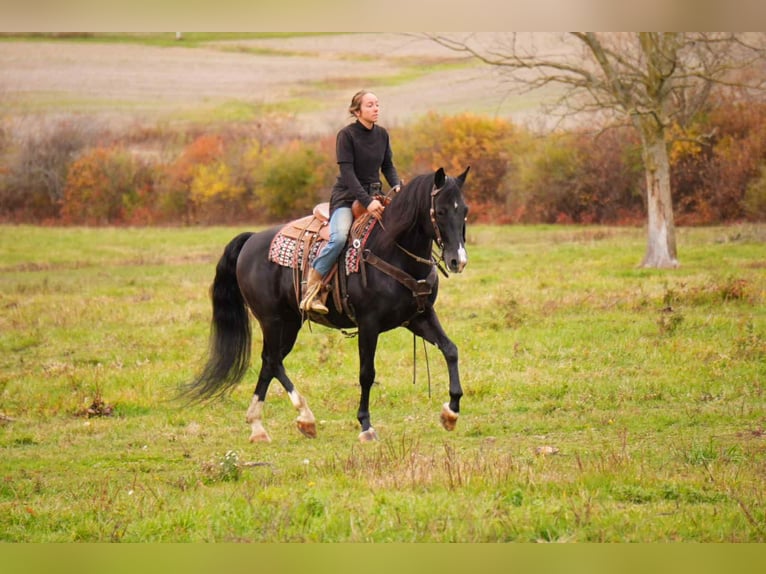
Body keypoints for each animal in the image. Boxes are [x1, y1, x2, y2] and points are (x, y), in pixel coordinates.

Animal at [182, 166, 470, 442]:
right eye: (441, 211)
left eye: (464, 211)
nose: (458, 260)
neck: (391, 250)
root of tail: (251, 240)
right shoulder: (369, 323)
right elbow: (367, 373)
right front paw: (365, 425)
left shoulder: (418, 317)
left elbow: (451, 350)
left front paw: (451, 412)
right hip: (271, 319)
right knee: (273, 361)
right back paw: (305, 416)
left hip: (289, 323)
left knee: (269, 362)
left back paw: (258, 427)